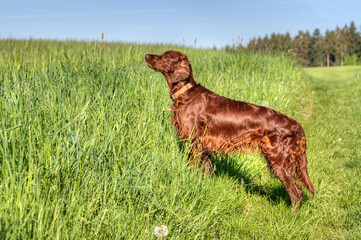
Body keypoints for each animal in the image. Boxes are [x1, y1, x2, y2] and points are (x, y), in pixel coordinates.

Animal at [145, 50, 314, 206]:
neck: (185, 92)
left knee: (296, 192)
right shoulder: (204, 148)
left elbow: (193, 169)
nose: (146, 55)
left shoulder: (193, 143)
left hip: (278, 160)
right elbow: (206, 171)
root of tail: (298, 126)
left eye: (166, 56)